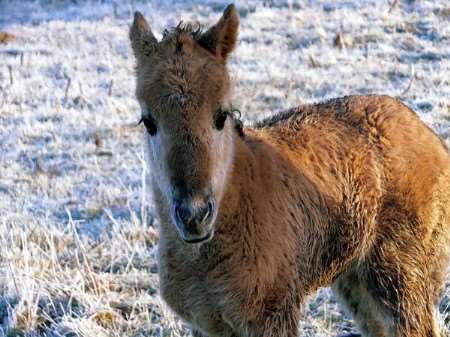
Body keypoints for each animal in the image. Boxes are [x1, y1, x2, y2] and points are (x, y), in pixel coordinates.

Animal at [129, 5, 450, 336]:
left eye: (221, 116)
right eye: (148, 122)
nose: (194, 215)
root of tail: (430, 135)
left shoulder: (272, 315)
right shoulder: (206, 323)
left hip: (402, 276)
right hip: (357, 279)